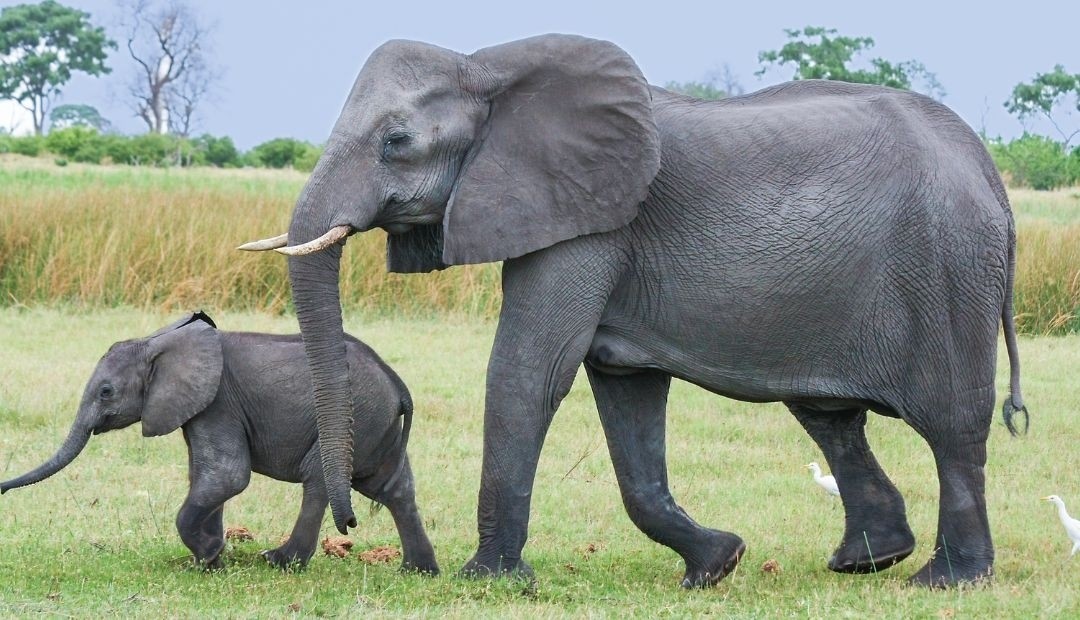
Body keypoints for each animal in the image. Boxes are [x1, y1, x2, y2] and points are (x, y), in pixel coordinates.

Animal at [0, 312, 438, 573]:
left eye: (106, 392)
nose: (2, 489)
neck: (159, 342)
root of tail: (397, 384)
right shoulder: (200, 408)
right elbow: (205, 477)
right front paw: (210, 558)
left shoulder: (218, 402)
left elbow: (227, 476)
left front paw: (209, 556)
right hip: (375, 426)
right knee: (393, 488)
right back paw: (417, 571)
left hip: (355, 417)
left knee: (319, 480)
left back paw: (279, 561)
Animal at [239, 34, 1028, 588]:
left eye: (396, 142)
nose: (349, 523)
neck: (489, 66)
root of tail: (989, 171)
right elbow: (625, 394)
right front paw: (717, 564)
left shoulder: (592, 221)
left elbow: (531, 370)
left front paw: (489, 581)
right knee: (830, 418)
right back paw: (865, 562)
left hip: (950, 271)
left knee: (952, 427)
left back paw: (945, 582)